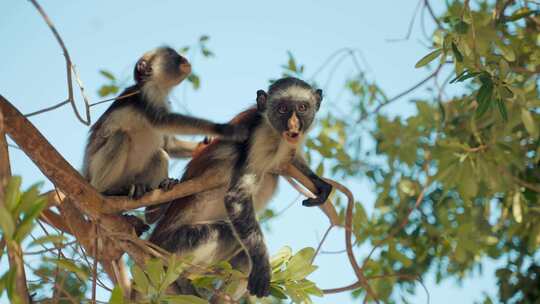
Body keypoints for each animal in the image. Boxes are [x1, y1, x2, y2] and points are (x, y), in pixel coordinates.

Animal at [149, 76, 334, 300]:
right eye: (282, 109)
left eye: (302, 107)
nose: (293, 124)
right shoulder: (260, 137)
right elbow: (236, 198)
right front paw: (262, 267)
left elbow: (292, 159)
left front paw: (319, 183)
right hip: (171, 247)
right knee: (226, 232)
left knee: (245, 257)